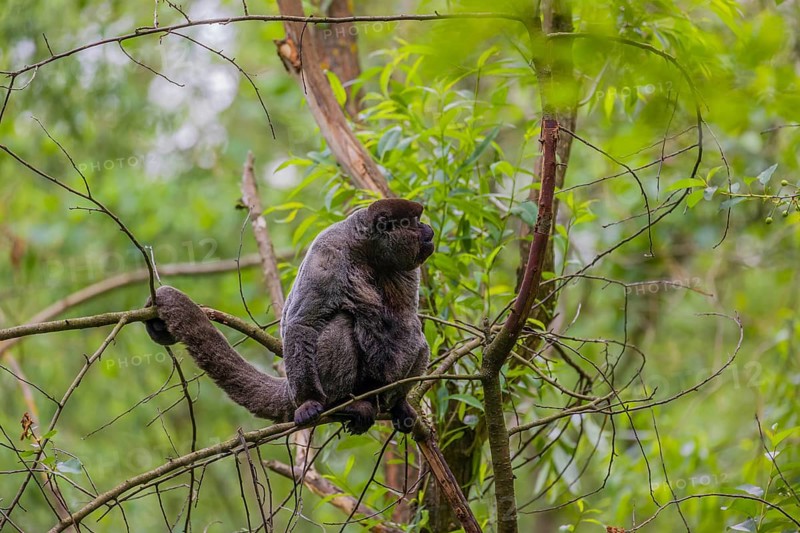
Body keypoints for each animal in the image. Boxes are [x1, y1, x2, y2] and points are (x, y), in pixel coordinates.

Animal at [145, 198, 435, 435]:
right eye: (414, 222)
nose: (429, 230)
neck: (369, 251)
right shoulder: (327, 255)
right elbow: (303, 323)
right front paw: (309, 403)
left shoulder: (405, 268)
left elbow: (407, 321)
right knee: (341, 324)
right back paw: (342, 404)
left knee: (418, 339)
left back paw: (396, 404)